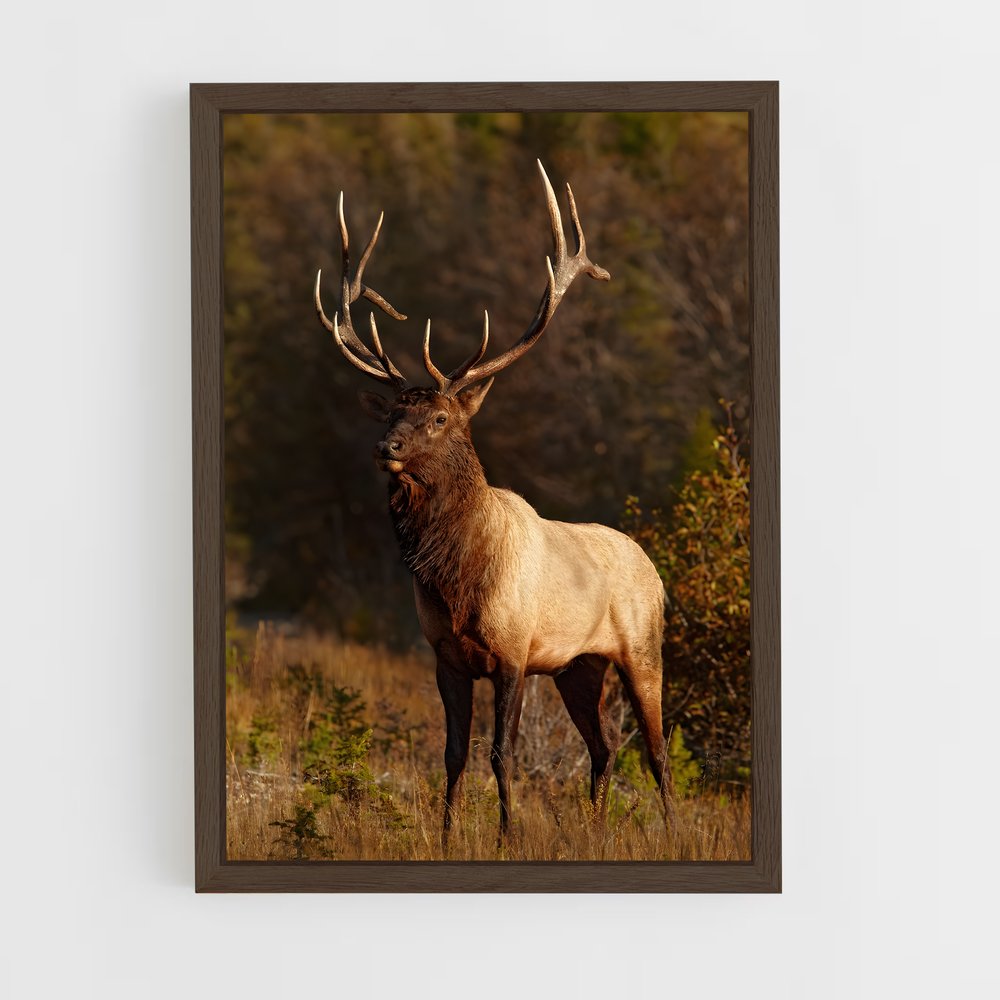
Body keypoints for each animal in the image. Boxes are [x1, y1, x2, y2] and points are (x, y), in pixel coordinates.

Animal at [314, 161, 673, 842]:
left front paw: (509, 834)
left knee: (657, 748)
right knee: (606, 745)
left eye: (440, 418)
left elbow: (502, 753)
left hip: (643, 648)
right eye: (394, 410)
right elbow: (453, 752)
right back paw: (596, 827)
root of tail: (654, 567)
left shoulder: (513, 651)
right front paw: (448, 833)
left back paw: (669, 828)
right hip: (579, 665)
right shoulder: (446, 655)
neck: (457, 580)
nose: (384, 446)